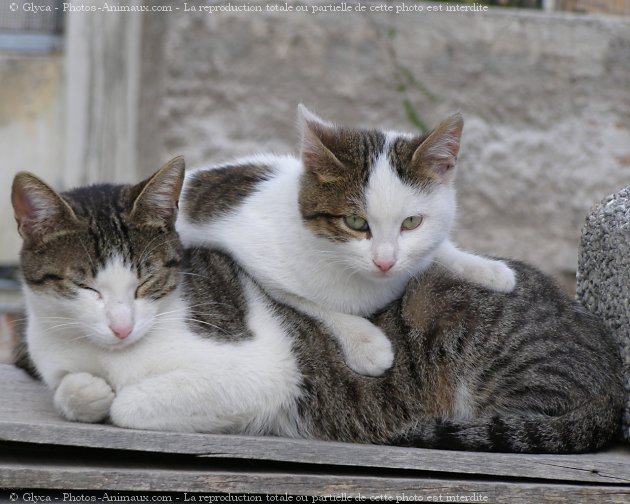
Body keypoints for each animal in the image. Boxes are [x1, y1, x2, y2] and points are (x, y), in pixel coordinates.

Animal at [11, 157, 628, 452]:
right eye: (86, 287)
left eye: (145, 282)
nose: (120, 327)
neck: (102, 353)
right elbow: (71, 388)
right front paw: (86, 391)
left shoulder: (260, 374)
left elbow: (132, 404)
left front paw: (118, 398)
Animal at [177, 108, 520, 380]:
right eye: (355, 222)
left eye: (411, 222)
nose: (385, 261)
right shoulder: (256, 261)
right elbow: (309, 303)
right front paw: (365, 341)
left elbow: (437, 248)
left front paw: (484, 268)